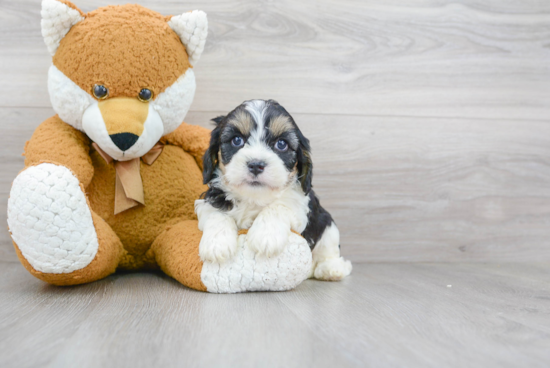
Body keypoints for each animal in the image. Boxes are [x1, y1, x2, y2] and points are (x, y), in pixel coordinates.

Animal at [196, 99, 354, 280]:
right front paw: (216, 243)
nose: (256, 164)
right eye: (237, 140)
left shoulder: (300, 203)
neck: (254, 197)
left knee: (328, 247)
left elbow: (279, 206)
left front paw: (265, 236)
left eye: (281, 144)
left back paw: (331, 268)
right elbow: (216, 213)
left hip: (327, 224)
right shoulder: (211, 199)